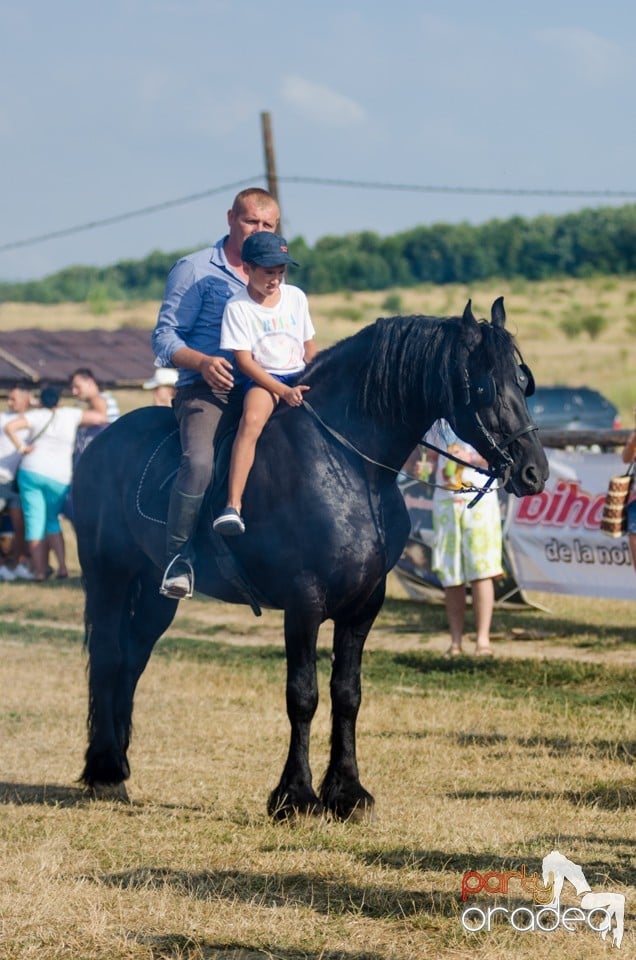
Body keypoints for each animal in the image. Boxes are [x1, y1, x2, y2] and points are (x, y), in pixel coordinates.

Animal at [74, 298, 548, 816]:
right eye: (483, 385)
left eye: (522, 381)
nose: (534, 471)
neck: (349, 463)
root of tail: (100, 442)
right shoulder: (304, 602)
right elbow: (303, 694)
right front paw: (295, 796)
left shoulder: (363, 605)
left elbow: (347, 694)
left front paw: (348, 792)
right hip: (109, 576)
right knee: (108, 656)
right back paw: (103, 773)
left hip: (157, 593)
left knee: (132, 659)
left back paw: (117, 769)